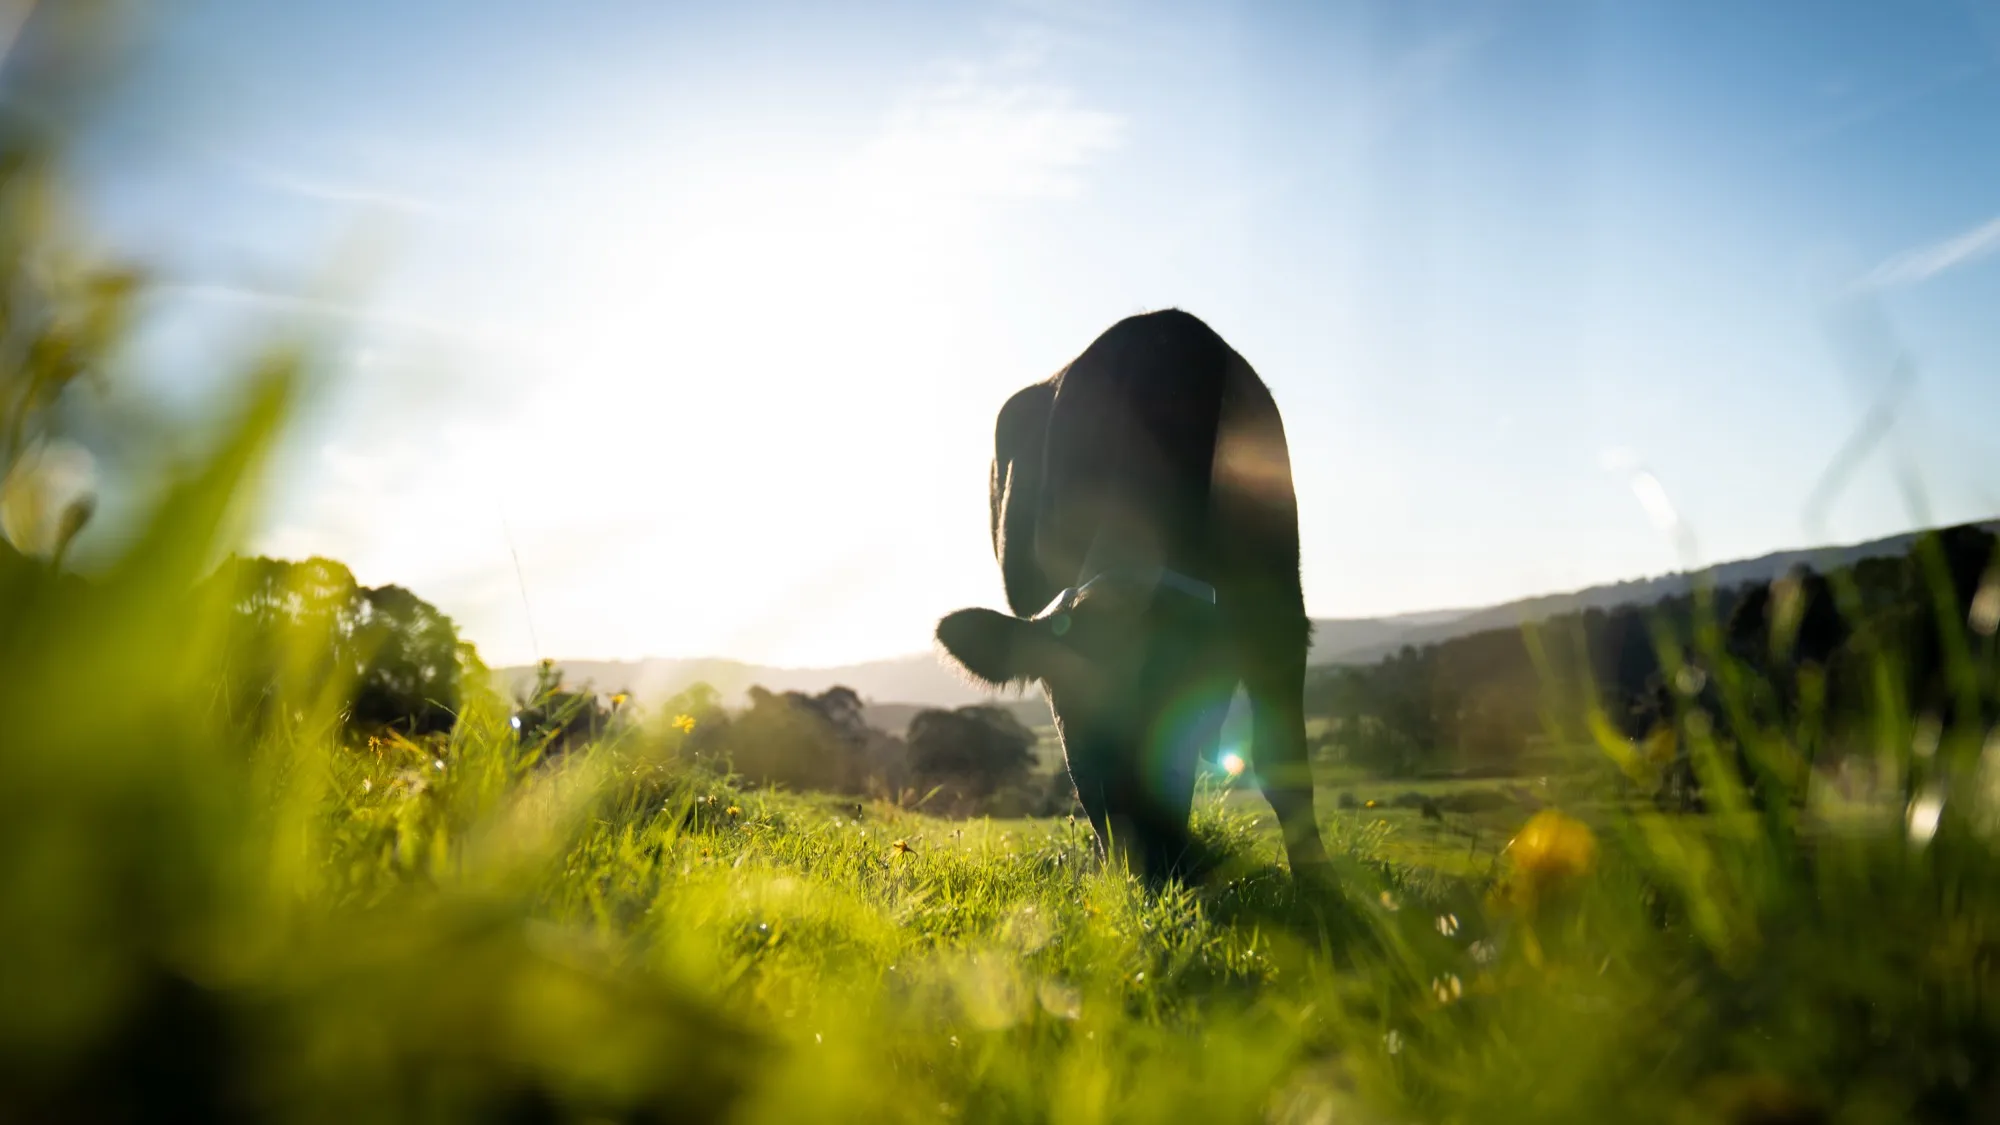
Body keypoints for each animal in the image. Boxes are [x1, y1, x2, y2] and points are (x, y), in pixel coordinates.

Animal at [934, 308, 1331, 884]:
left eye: (1183, 706)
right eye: (1070, 724)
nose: (1151, 866)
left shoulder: (1279, 607)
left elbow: (1284, 766)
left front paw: (1324, 887)